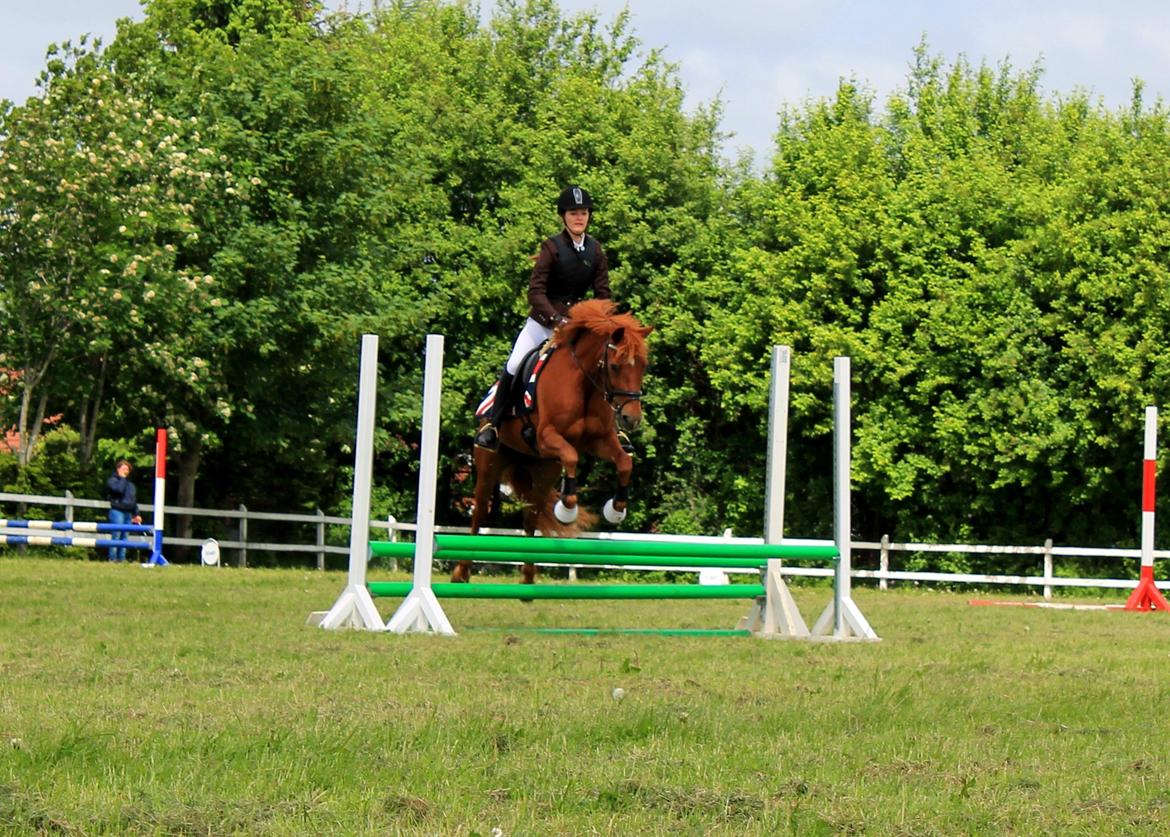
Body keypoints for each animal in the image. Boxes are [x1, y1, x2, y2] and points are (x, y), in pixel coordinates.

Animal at [451, 299, 652, 583]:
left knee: (531, 517)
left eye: (643, 366)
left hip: (543, 470)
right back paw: (461, 572)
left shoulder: (600, 440)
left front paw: (616, 509)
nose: (631, 419)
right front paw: (567, 511)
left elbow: (624, 462)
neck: (584, 384)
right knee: (479, 512)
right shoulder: (546, 436)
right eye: (615, 366)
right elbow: (572, 456)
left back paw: (527, 578)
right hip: (489, 463)